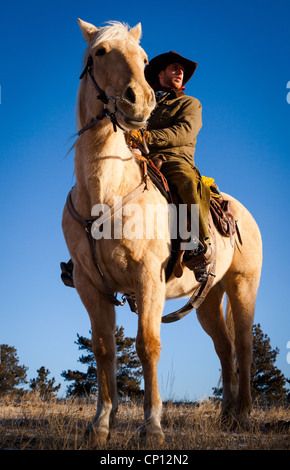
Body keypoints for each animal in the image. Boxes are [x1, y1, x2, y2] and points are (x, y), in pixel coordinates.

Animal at [62, 17, 262, 444]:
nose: (140, 102)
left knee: (244, 345)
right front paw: (100, 424)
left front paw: (152, 427)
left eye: (143, 58)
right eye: (100, 52)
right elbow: (104, 349)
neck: (104, 192)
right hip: (209, 297)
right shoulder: (90, 285)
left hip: (242, 286)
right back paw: (226, 415)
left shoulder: (147, 279)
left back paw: (243, 414)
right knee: (224, 349)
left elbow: (148, 345)